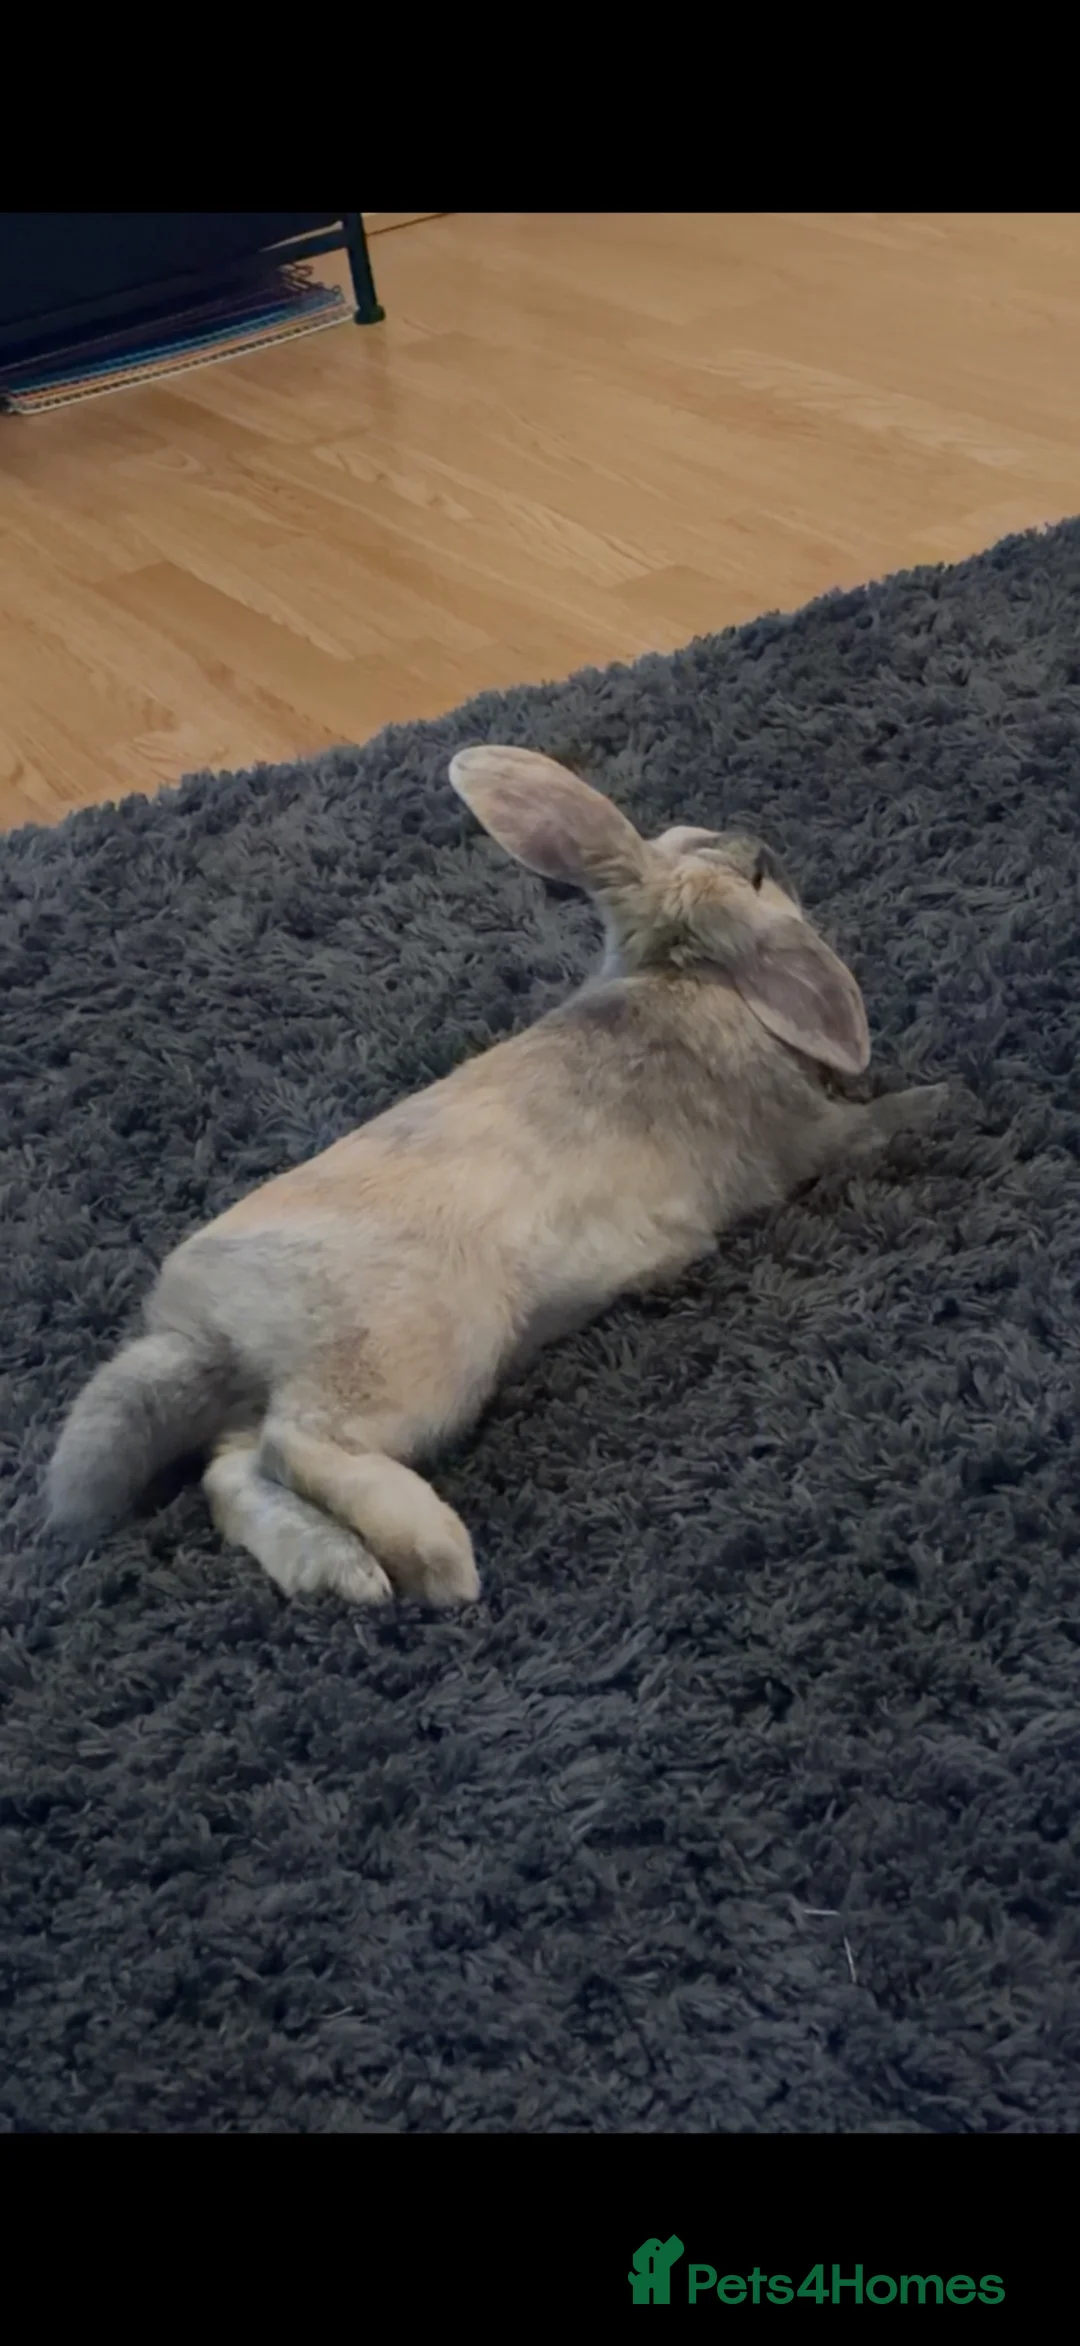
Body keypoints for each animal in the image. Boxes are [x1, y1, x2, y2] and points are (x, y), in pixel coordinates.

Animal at [45, 745, 947, 1607]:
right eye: (755, 879)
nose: (761, 846)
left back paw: (340, 1571)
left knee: (232, 1475)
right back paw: (435, 1559)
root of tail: (198, 1329)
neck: (679, 971)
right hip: (418, 1351)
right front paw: (947, 1103)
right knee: (297, 1443)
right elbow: (864, 1131)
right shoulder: (803, 1136)